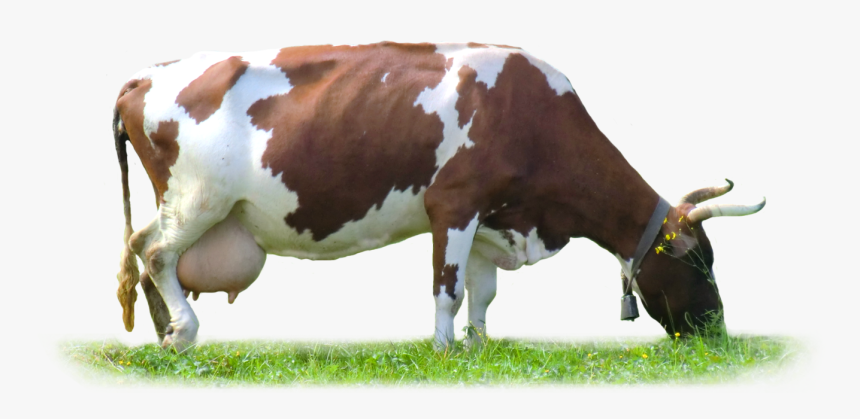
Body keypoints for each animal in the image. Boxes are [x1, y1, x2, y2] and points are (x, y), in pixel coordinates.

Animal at [113, 42, 765, 351]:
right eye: (699, 262)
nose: (717, 328)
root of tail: (148, 73)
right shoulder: (452, 205)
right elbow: (447, 290)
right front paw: (446, 349)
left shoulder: (492, 217)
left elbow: (483, 291)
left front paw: (479, 344)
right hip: (198, 199)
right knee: (155, 252)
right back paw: (185, 331)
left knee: (143, 255)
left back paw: (165, 336)